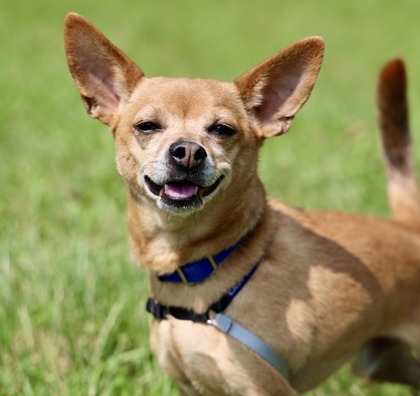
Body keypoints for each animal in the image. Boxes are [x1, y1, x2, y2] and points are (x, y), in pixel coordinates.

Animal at [64, 13, 420, 396]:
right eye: (147, 126)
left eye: (222, 130)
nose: (188, 151)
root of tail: (407, 227)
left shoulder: (265, 388)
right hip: (382, 363)